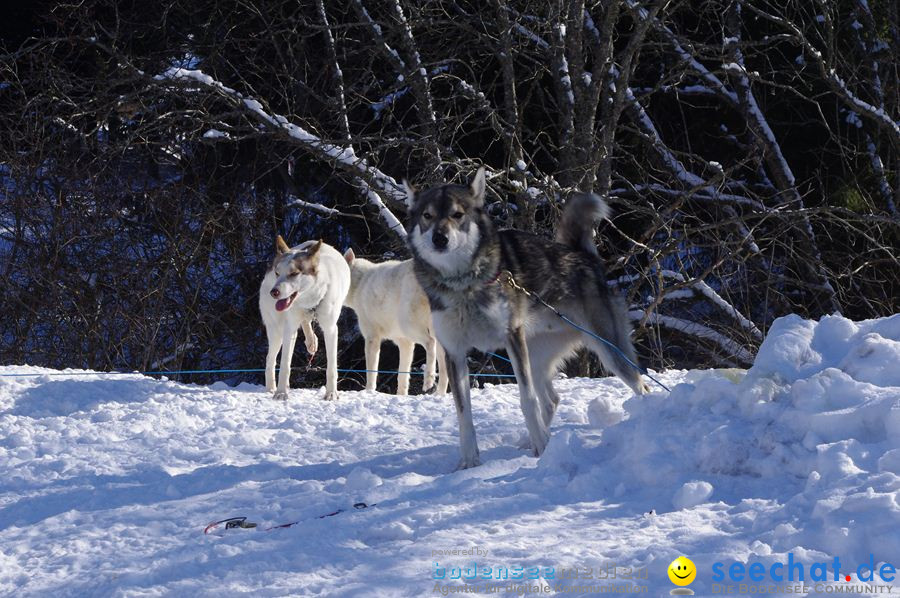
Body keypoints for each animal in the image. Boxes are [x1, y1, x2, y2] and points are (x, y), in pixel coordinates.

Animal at [260, 237, 352, 400]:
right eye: (277, 273)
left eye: (294, 273)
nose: (274, 292)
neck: (310, 302)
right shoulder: (289, 329)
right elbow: (284, 365)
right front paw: (281, 392)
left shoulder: (331, 329)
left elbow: (331, 367)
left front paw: (331, 393)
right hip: (277, 330)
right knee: (270, 359)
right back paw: (271, 388)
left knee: (305, 323)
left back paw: (311, 341)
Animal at [342, 251, 446, 396]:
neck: (359, 283)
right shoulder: (404, 342)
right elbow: (402, 375)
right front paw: (401, 395)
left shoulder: (372, 338)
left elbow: (371, 371)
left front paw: (369, 391)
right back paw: (439, 393)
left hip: (410, 325)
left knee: (431, 343)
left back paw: (428, 381)